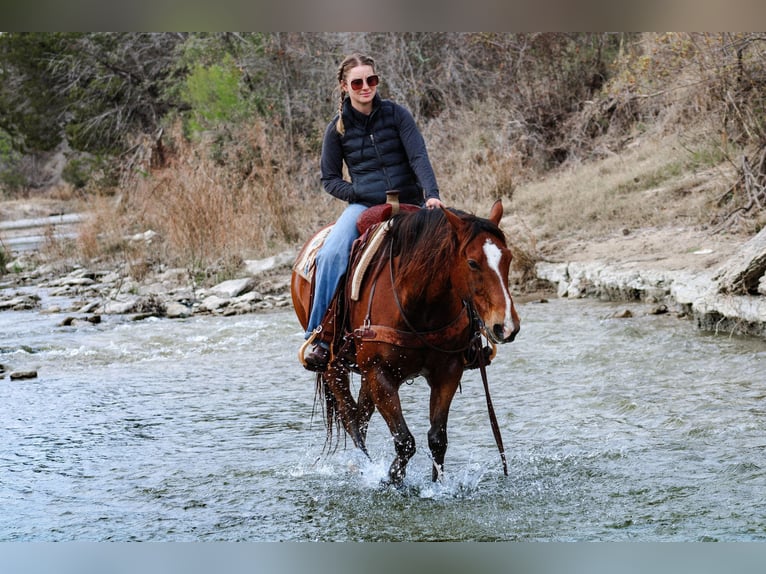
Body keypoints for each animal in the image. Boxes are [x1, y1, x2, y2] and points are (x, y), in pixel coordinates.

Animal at [292, 200, 520, 488]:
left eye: (508, 258)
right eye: (472, 262)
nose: (507, 326)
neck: (419, 303)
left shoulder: (447, 372)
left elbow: (437, 438)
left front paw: (437, 486)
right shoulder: (380, 374)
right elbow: (405, 442)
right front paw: (391, 481)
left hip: (365, 373)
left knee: (360, 416)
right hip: (335, 366)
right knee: (351, 420)